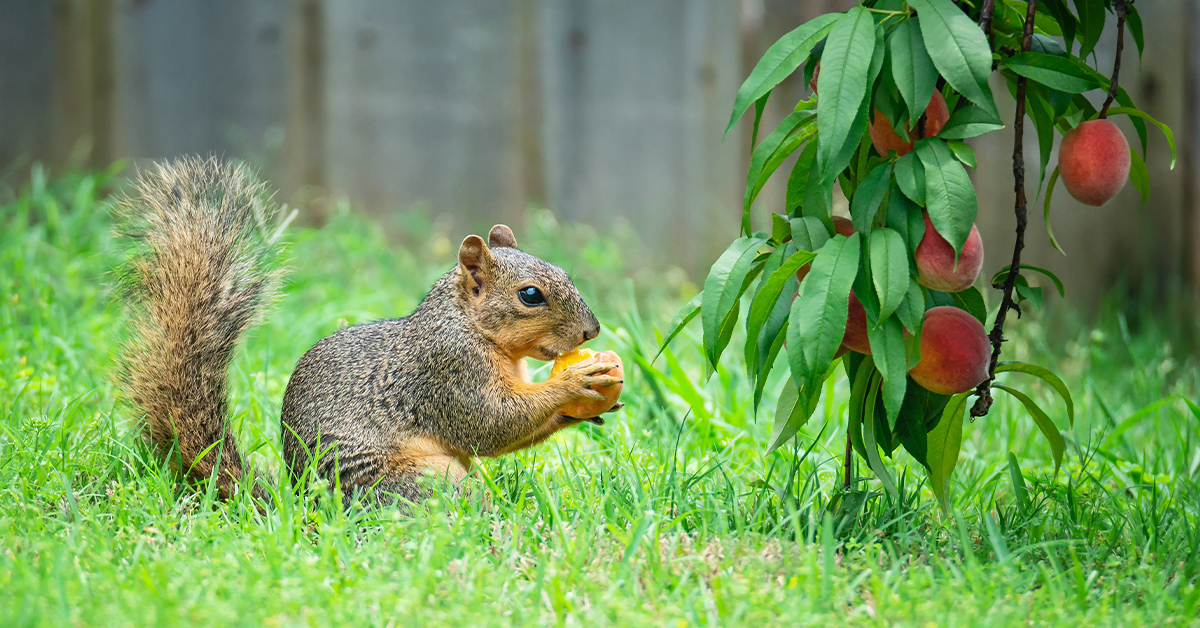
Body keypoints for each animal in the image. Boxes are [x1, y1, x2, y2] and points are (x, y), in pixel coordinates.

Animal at [113, 154, 624, 509]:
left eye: (564, 272)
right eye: (531, 295)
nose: (592, 332)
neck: (471, 327)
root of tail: (304, 508)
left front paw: (585, 410)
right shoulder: (447, 370)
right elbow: (490, 423)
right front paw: (573, 383)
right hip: (421, 481)